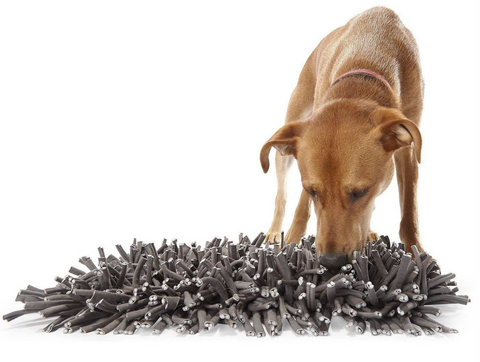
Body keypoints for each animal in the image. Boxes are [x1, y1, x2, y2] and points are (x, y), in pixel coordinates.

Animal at [262, 6, 424, 268]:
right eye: (313, 191)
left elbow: (409, 211)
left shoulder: (408, 148)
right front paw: (291, 245)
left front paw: (419, 256)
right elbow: (301, 208)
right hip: (287, 136)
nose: (331, 261)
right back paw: (276, 231)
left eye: (360, 192)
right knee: (281, 195)